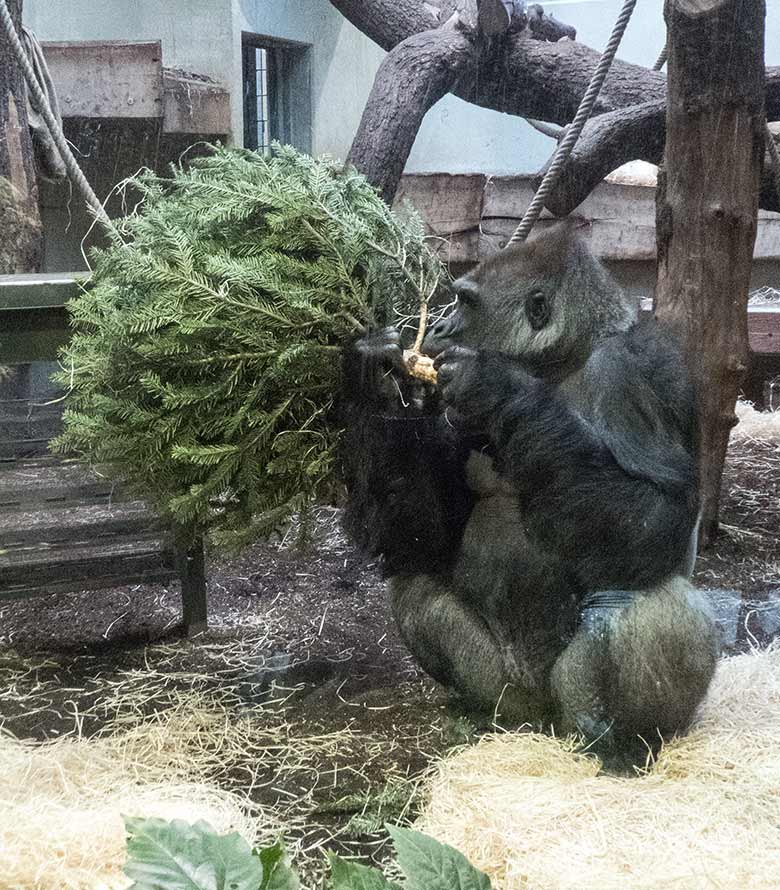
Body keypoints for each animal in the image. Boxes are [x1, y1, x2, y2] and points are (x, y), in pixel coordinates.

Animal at [342, 222, 720, 756]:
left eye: (466, 303)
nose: (438, 329)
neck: (566, 357)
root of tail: (543, 723)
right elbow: (425, 538)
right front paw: (378, 382)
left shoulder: (637, 370)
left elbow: (657, 519)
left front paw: (500, 389)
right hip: (510, 695)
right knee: (415, 585)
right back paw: (477, 711)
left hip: (569, 709)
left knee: (644, 606)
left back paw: (623, 745)